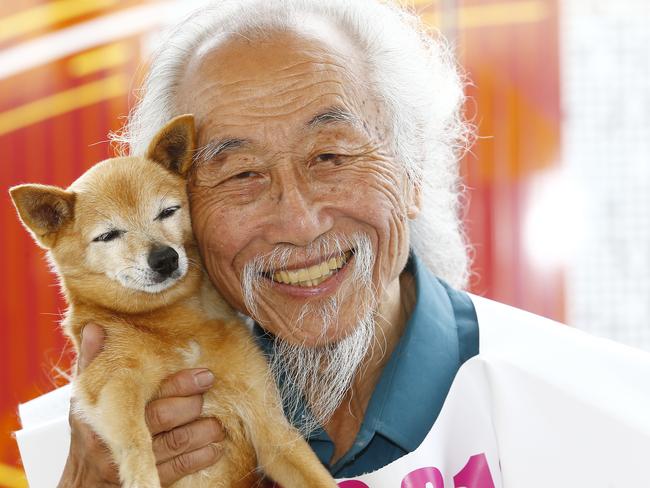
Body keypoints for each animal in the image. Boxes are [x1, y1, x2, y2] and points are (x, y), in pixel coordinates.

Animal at [8, 115, 334, 488]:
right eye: (108, 235)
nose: (164, 258)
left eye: (167, 211)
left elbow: (311, 470)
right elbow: (136, 441)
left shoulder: (270, 427)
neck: (172, 321)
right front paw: (142, 476)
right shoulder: (112, 384)